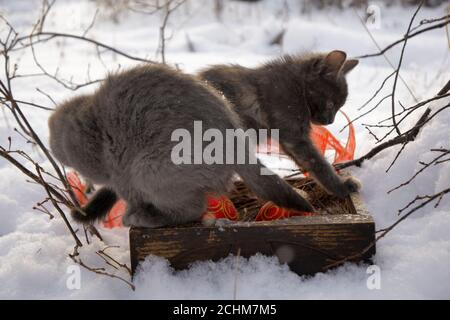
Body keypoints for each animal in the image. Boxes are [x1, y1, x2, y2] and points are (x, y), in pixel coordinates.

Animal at [48, 63, 312, 228]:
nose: (51, 145)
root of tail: (237, 146)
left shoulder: (123, 176)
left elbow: (127, 196)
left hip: (148, 168)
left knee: (191, 210)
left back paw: (146, 218)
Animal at [199, 50, 360, 198]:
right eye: (330, 104)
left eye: (339, 107)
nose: (330, 121)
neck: (298, 86)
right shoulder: (294, 137)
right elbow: (318, 164)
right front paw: (343, 187)